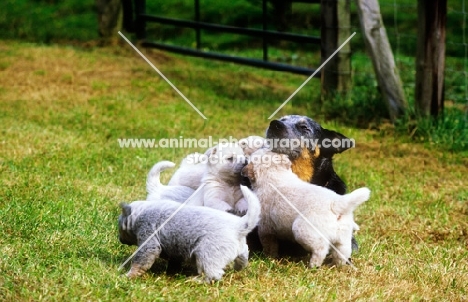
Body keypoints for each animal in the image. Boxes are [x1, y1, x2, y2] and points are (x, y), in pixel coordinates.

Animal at [118, 185, 260, 282]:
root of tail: (239, 225)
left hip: (207, 254)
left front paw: (129, 275)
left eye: (120, 226)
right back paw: (238, 267)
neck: (141, 212)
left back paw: (196, 280)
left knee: (213, 274)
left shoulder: (148, 240)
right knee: (243, 257)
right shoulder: (174, 251)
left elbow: (139, 262)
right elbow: (173, 262)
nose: (119, 240)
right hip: (239, 250)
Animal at [241, 149, 370, 266]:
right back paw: (337, 265)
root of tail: (336, 204)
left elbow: (269, 245)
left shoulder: (265, 229)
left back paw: (313, 265)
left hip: (302, 230)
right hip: (343, 237)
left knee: (321, 249)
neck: (276, 174)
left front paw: (269, 257)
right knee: (343, 252)